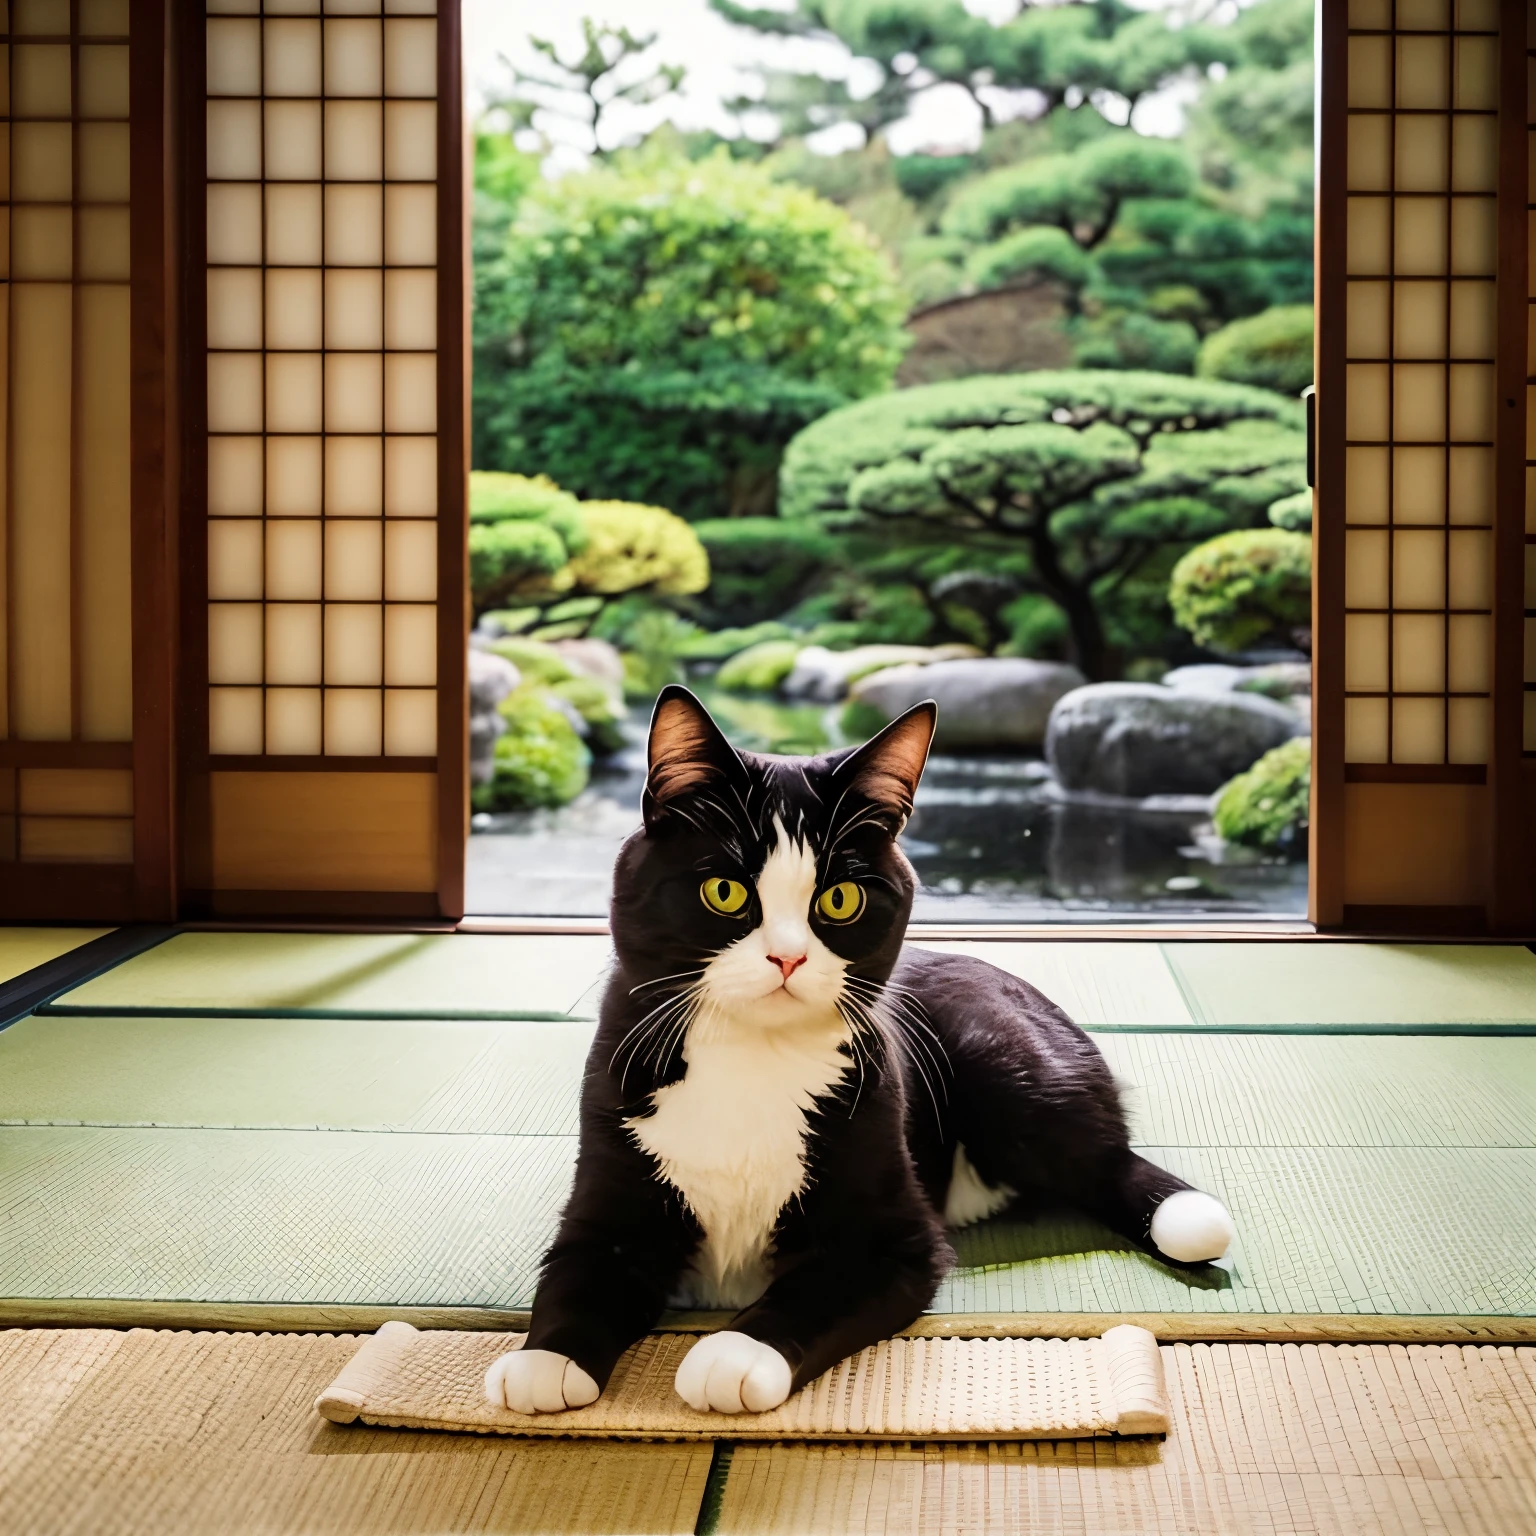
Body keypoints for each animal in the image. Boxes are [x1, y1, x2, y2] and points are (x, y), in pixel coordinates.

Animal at [485, 685, 1228, 1413]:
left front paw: (733, 1354)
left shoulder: (896, 1239)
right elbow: (577, 1271)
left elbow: (816, 1288)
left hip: (1008, 1064)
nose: (787, 957)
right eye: (724, 891)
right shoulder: (608, 1178)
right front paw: (543, 1362)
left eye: (839, 899)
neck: (751, 1059)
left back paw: (1185, 1215)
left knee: (1103, 1160)